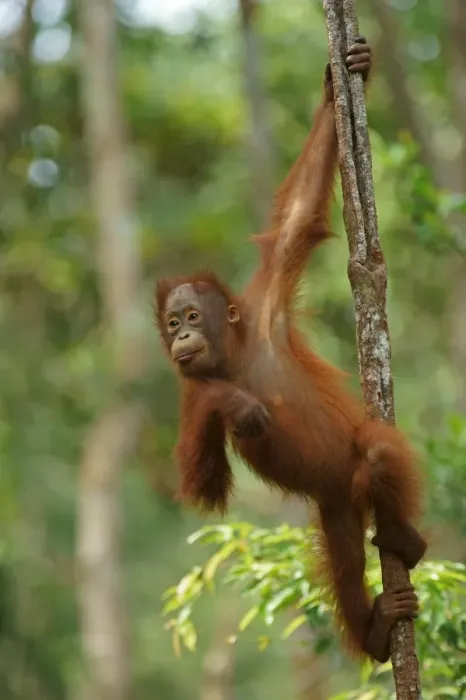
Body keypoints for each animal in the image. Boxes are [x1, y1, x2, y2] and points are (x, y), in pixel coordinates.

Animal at [154, 38, 425, 662]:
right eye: (171, 322)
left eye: (191, 317)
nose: (180, 337)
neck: (234, 356)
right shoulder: (187, 396)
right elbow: (201, 483)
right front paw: (232, 404)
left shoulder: (266, 302)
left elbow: (298, 218)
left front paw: (340, 80)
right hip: (335, 508)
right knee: (346, 565)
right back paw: (377, 631)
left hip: (351, 478)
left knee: (379, 452)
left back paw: (406, 539)